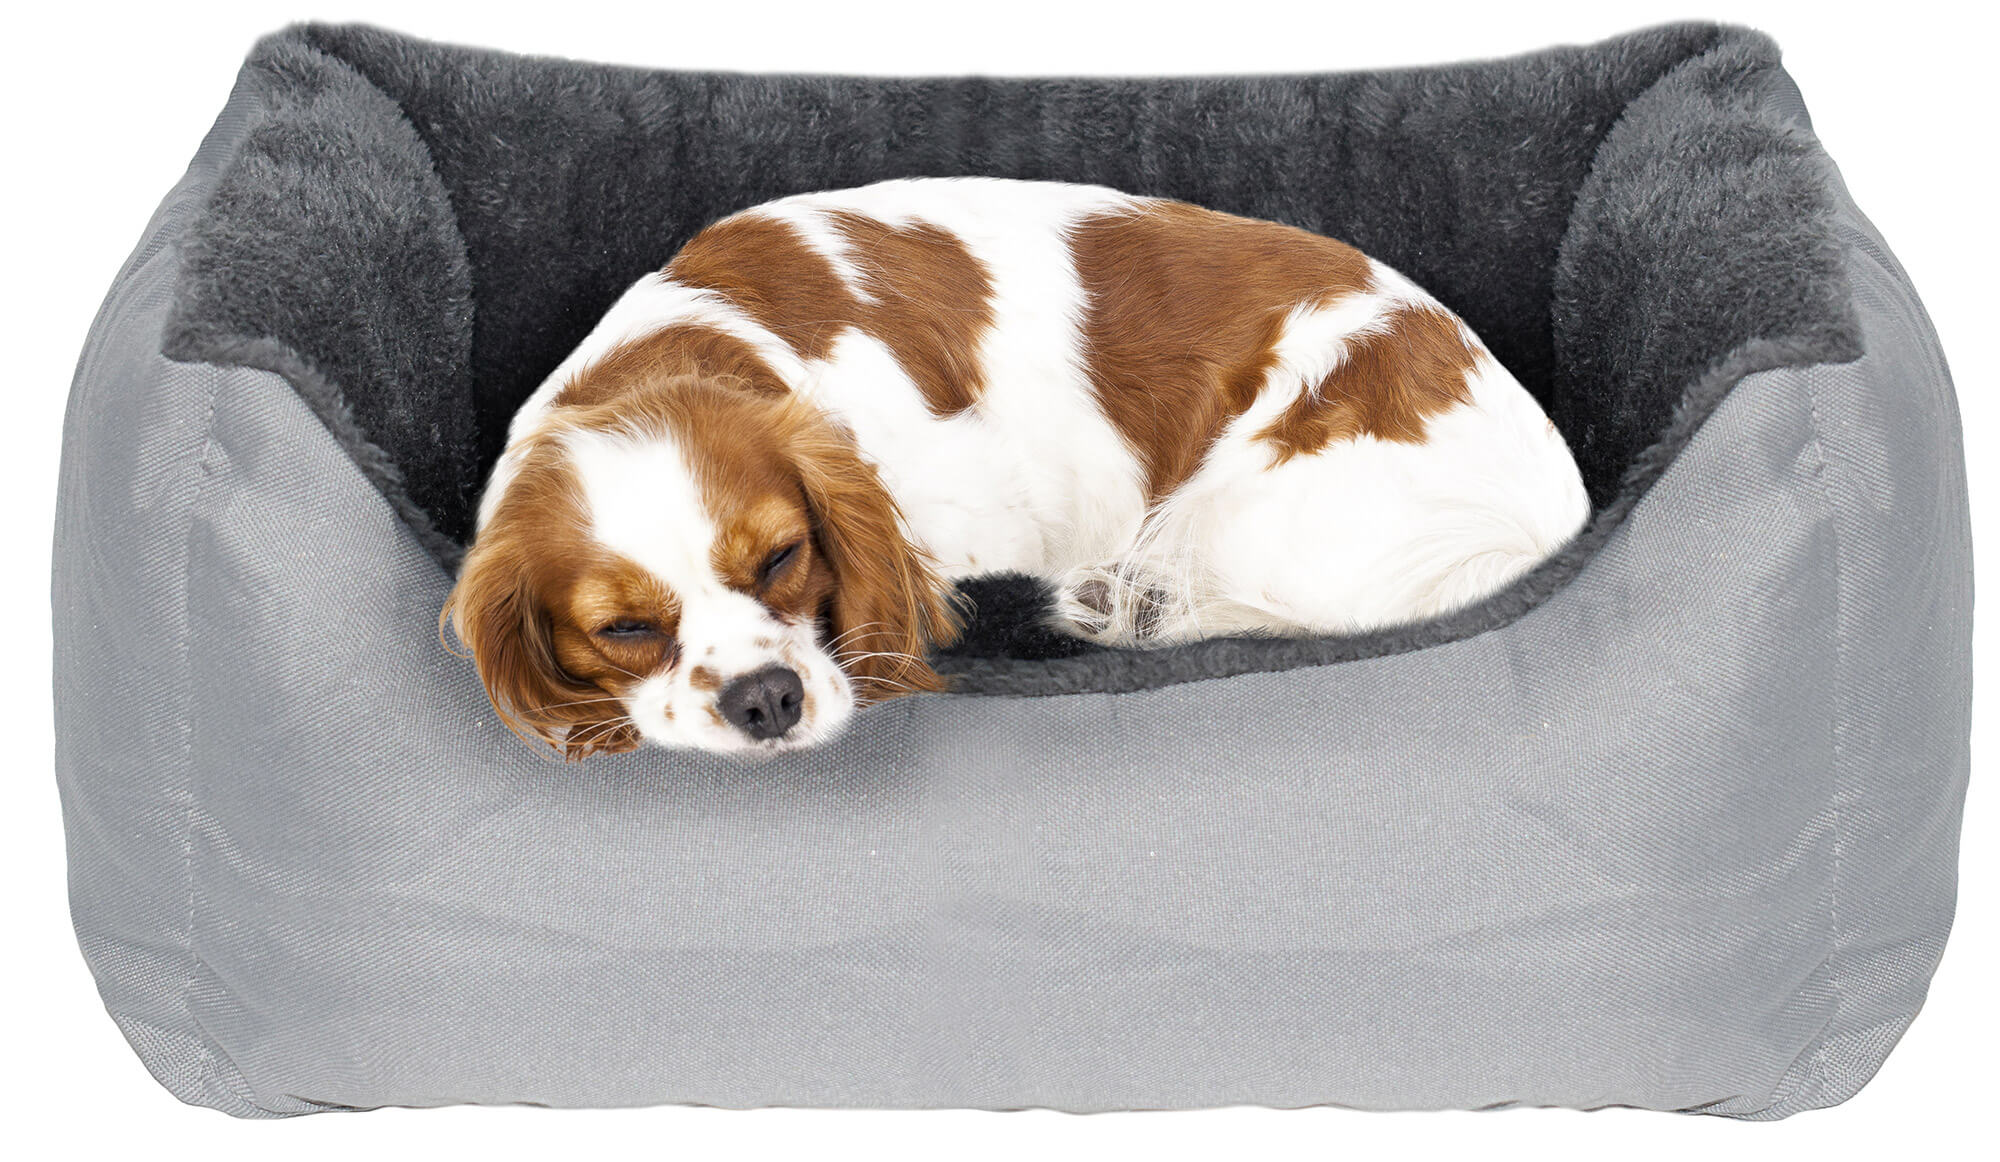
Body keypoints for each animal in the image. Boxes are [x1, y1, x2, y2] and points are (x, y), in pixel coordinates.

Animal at [446, 177, 1589, 757]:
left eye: (780, 560)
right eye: (623, 629)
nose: (765, 698)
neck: (695, 345)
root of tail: (1552, 508)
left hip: (1258, 512)